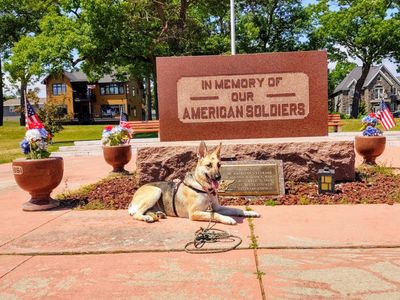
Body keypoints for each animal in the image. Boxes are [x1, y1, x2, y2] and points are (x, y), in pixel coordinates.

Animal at [127, 141, 260, 225]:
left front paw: (250, 212)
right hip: (156, 191)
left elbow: (236, 209)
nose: (218, 177)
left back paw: (159, 214)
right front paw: (227, 219)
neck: (204, 189)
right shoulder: (195, 213)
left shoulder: (217, 207)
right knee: (136, 214)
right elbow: (215, 215)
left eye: (219, 165)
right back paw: (147, 217)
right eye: (209, 165)